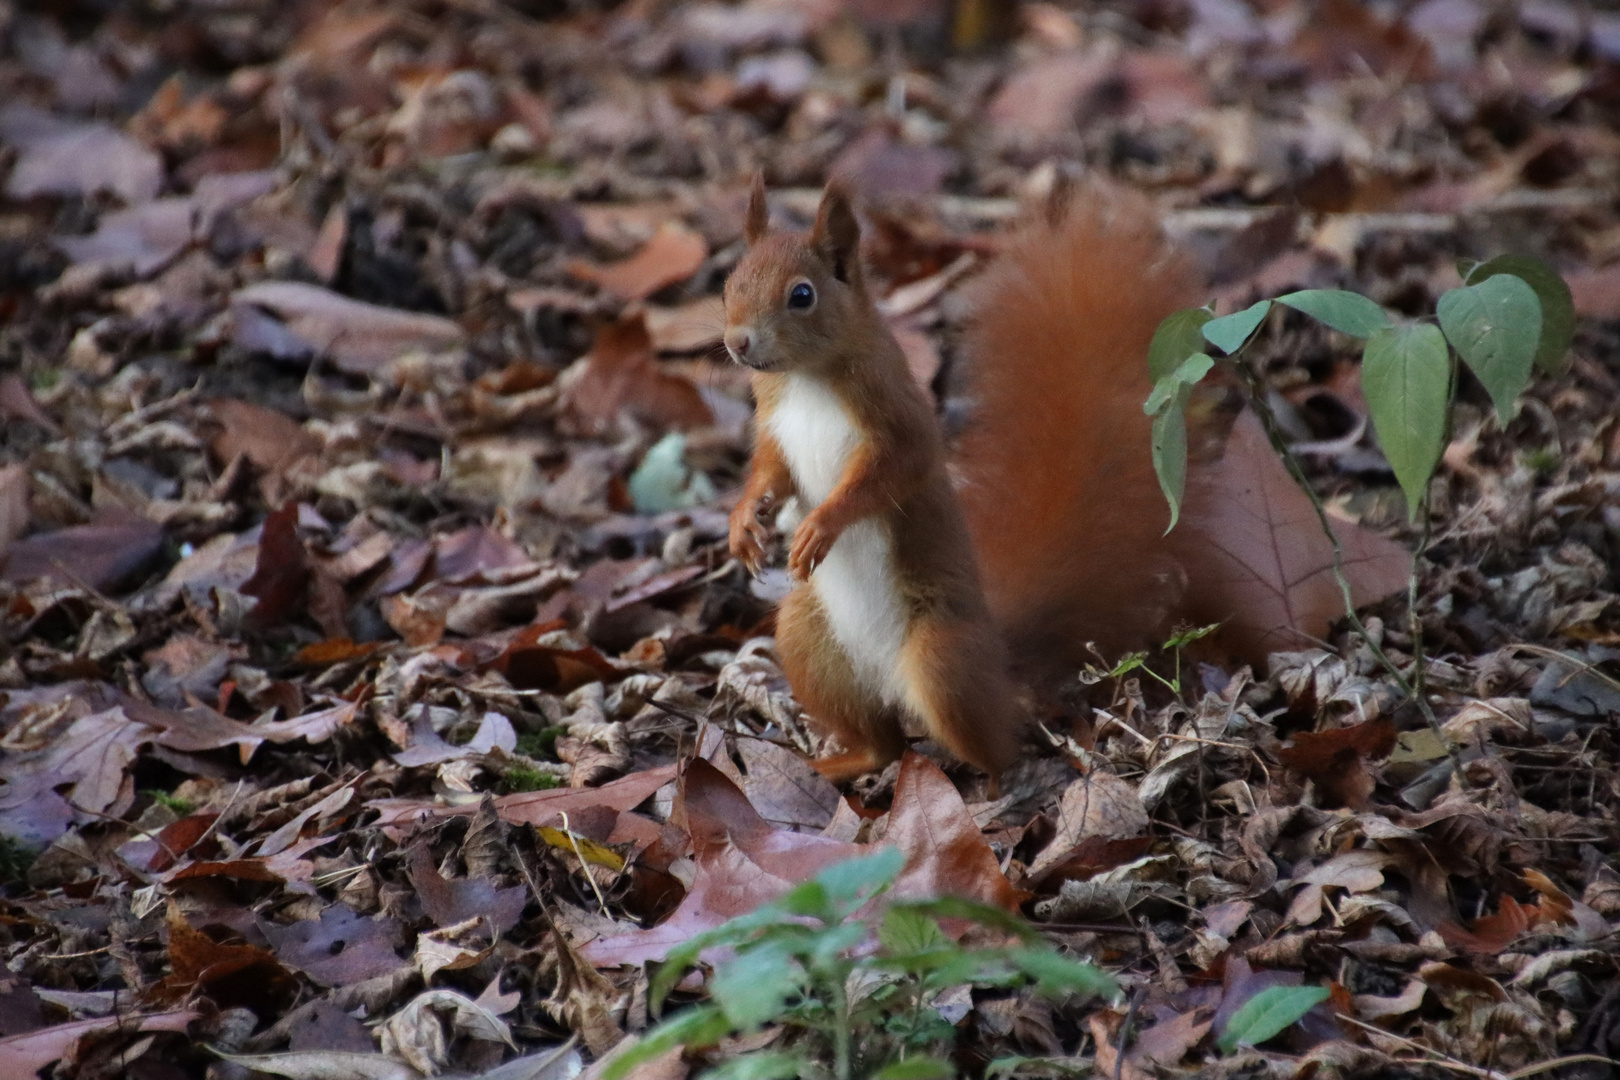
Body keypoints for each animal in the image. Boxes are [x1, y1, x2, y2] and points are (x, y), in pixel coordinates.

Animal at [722, 177, 1205, 786]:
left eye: (802, 295)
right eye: (728, 284)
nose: (738, 343)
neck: (806, 378)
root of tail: (998, 657)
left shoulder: (899, 419)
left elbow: (890, 475)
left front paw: (821, 525)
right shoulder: (775, 423)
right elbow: (772, 472)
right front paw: (744, 523)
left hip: (941, 658)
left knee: (996, 745)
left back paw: (996, 780)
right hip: (808, 640)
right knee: (883, 743)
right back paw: (840, 762)